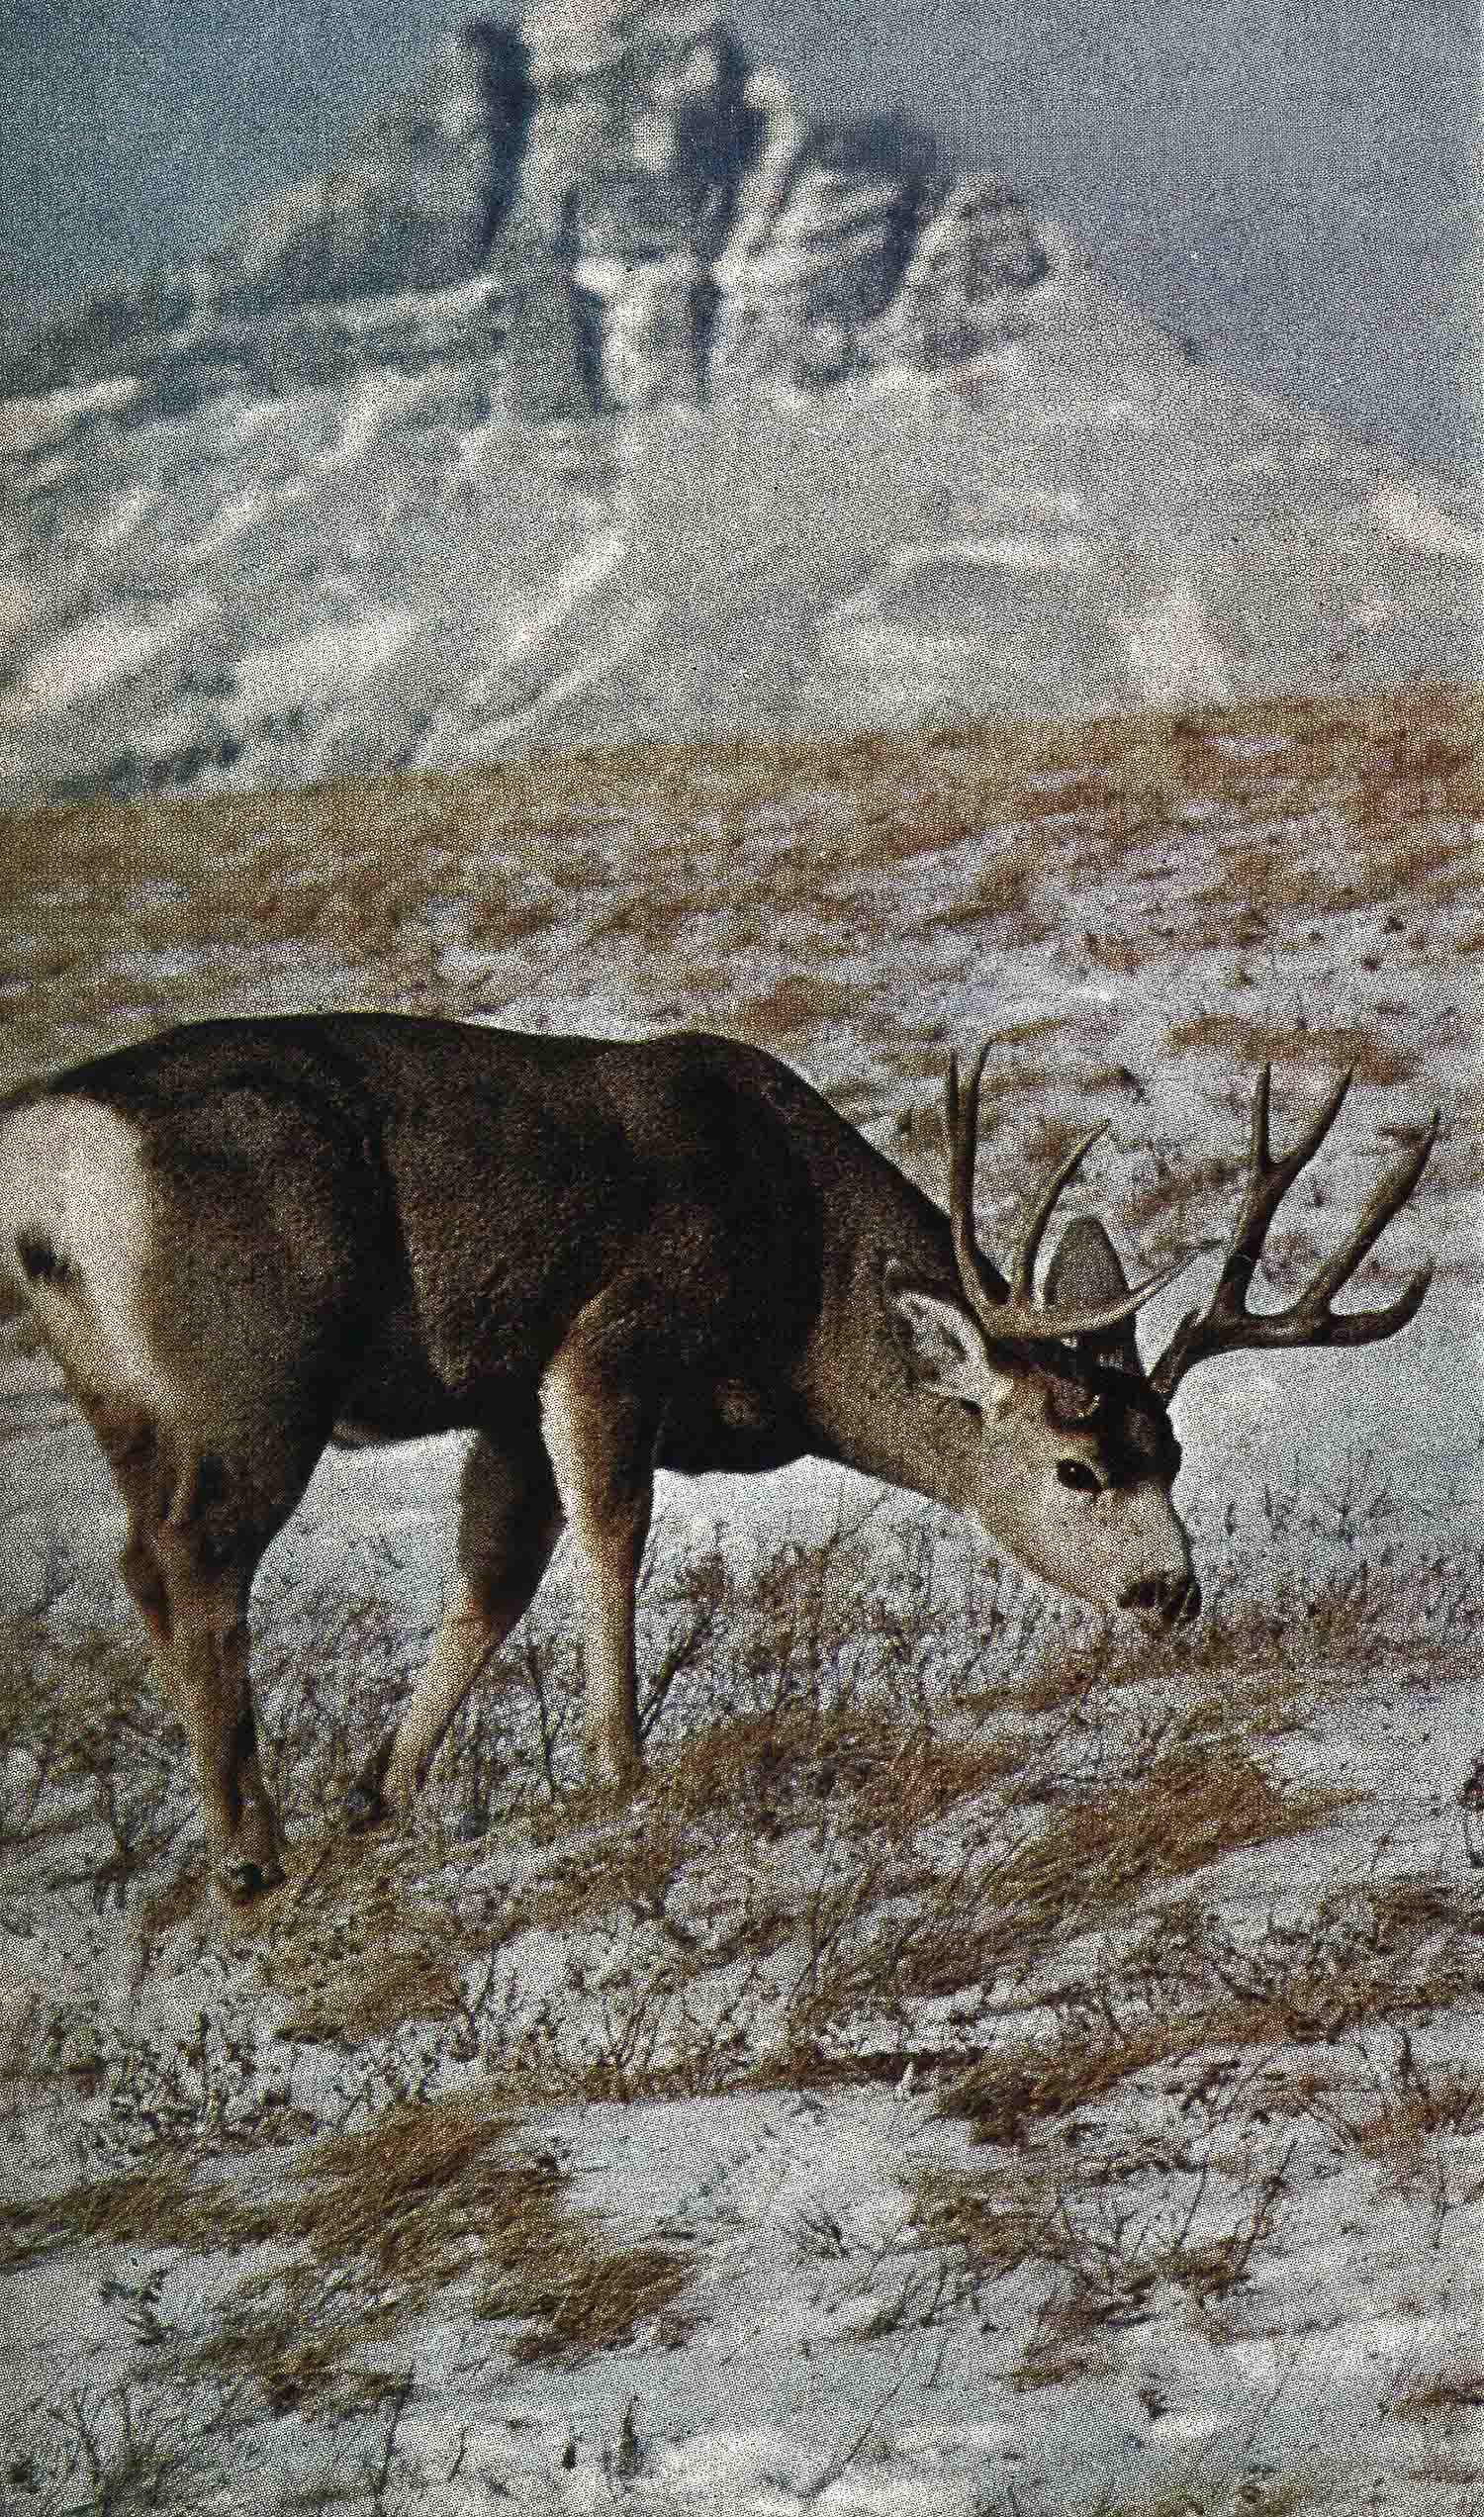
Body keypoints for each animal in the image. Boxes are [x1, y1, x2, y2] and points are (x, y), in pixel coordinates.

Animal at [0, 1013, 1436, 1898]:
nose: (1169, 1593)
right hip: (252, 1371)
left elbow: (494, 1577)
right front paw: (621, 1764)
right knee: (198, 1565)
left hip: (132, 1395)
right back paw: (249, 1855)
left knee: (146, 1564)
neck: (795, 1285)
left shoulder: (503, 1408)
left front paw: (384, 1794)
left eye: (1173, 1453)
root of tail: (48, 1157)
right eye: (1077, 1471)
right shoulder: (607, 1332)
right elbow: (615, 1533)